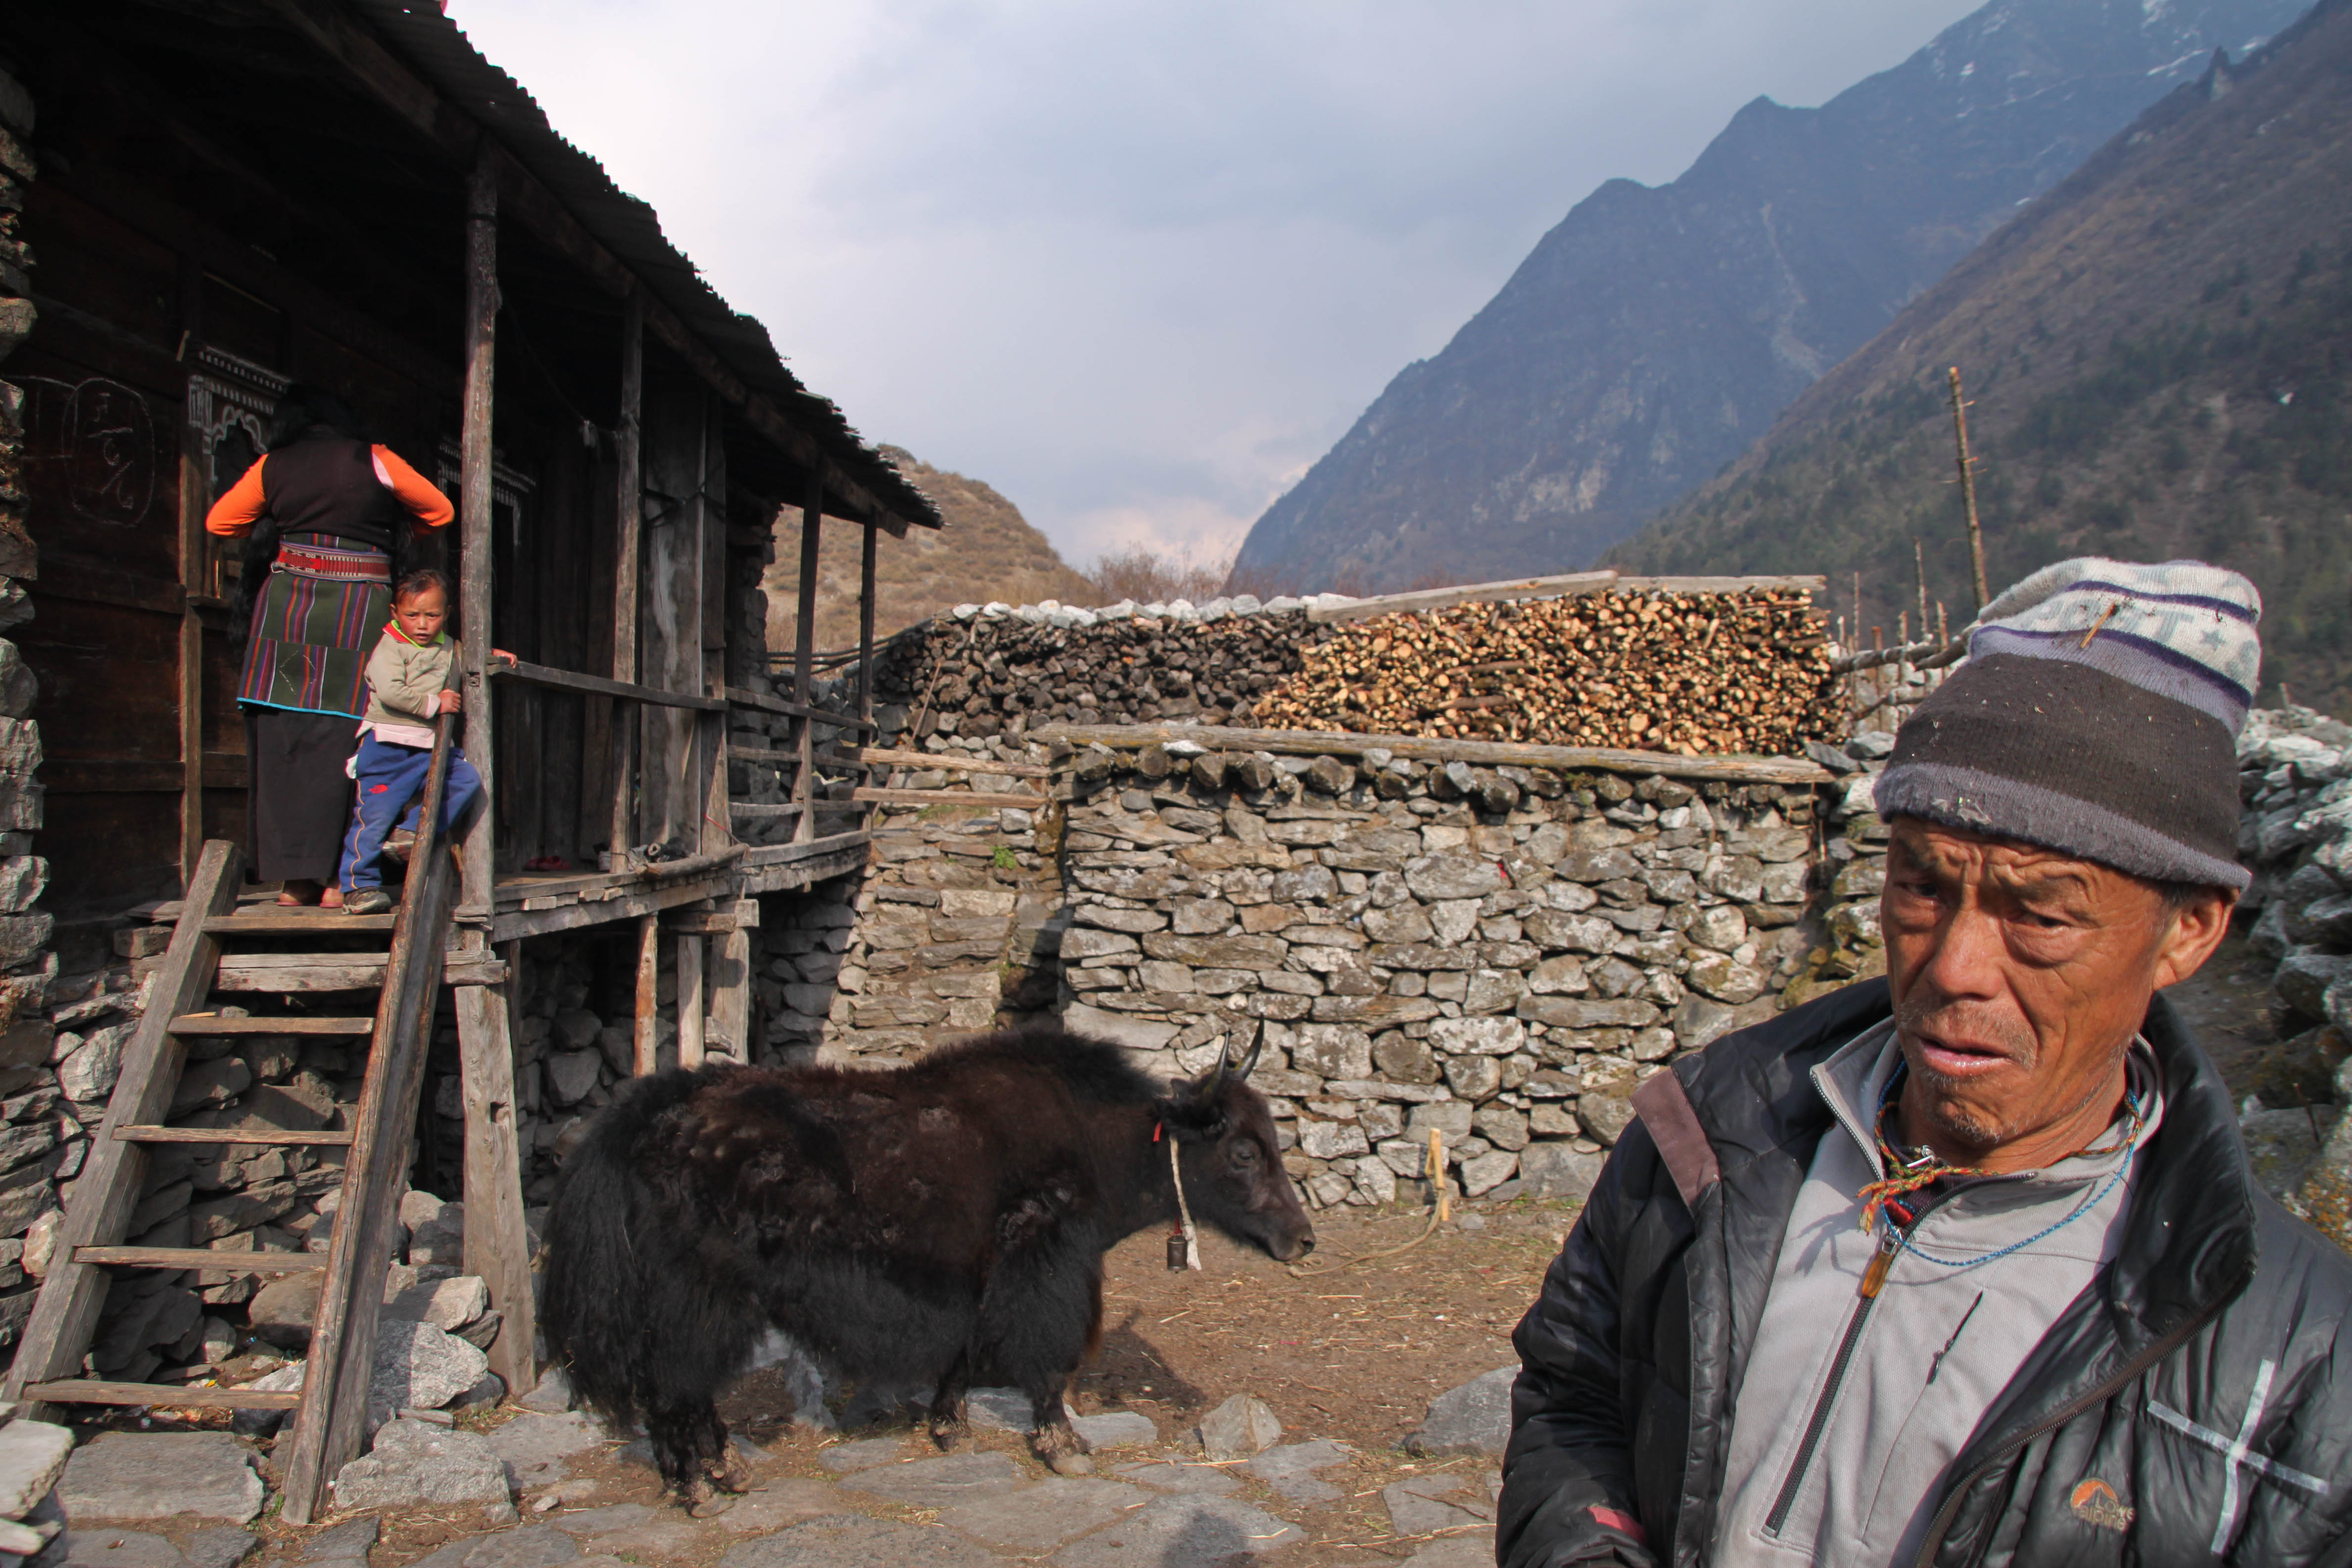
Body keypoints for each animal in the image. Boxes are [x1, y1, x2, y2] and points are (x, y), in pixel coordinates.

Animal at [540, 1025, 1314, 1501]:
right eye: (1243, 1152)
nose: (1303, 1239)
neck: (1099, 1138)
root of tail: (643, 1115)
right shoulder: (1045, 1260)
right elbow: (1046, 1360)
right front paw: (1065, 1446)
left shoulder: (979, 1274)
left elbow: (965, 1353)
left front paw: (951, 1429)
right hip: (698, 1292)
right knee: (676, 1384)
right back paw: (702, 1484)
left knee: (679, 1385)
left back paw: (720, 1473)